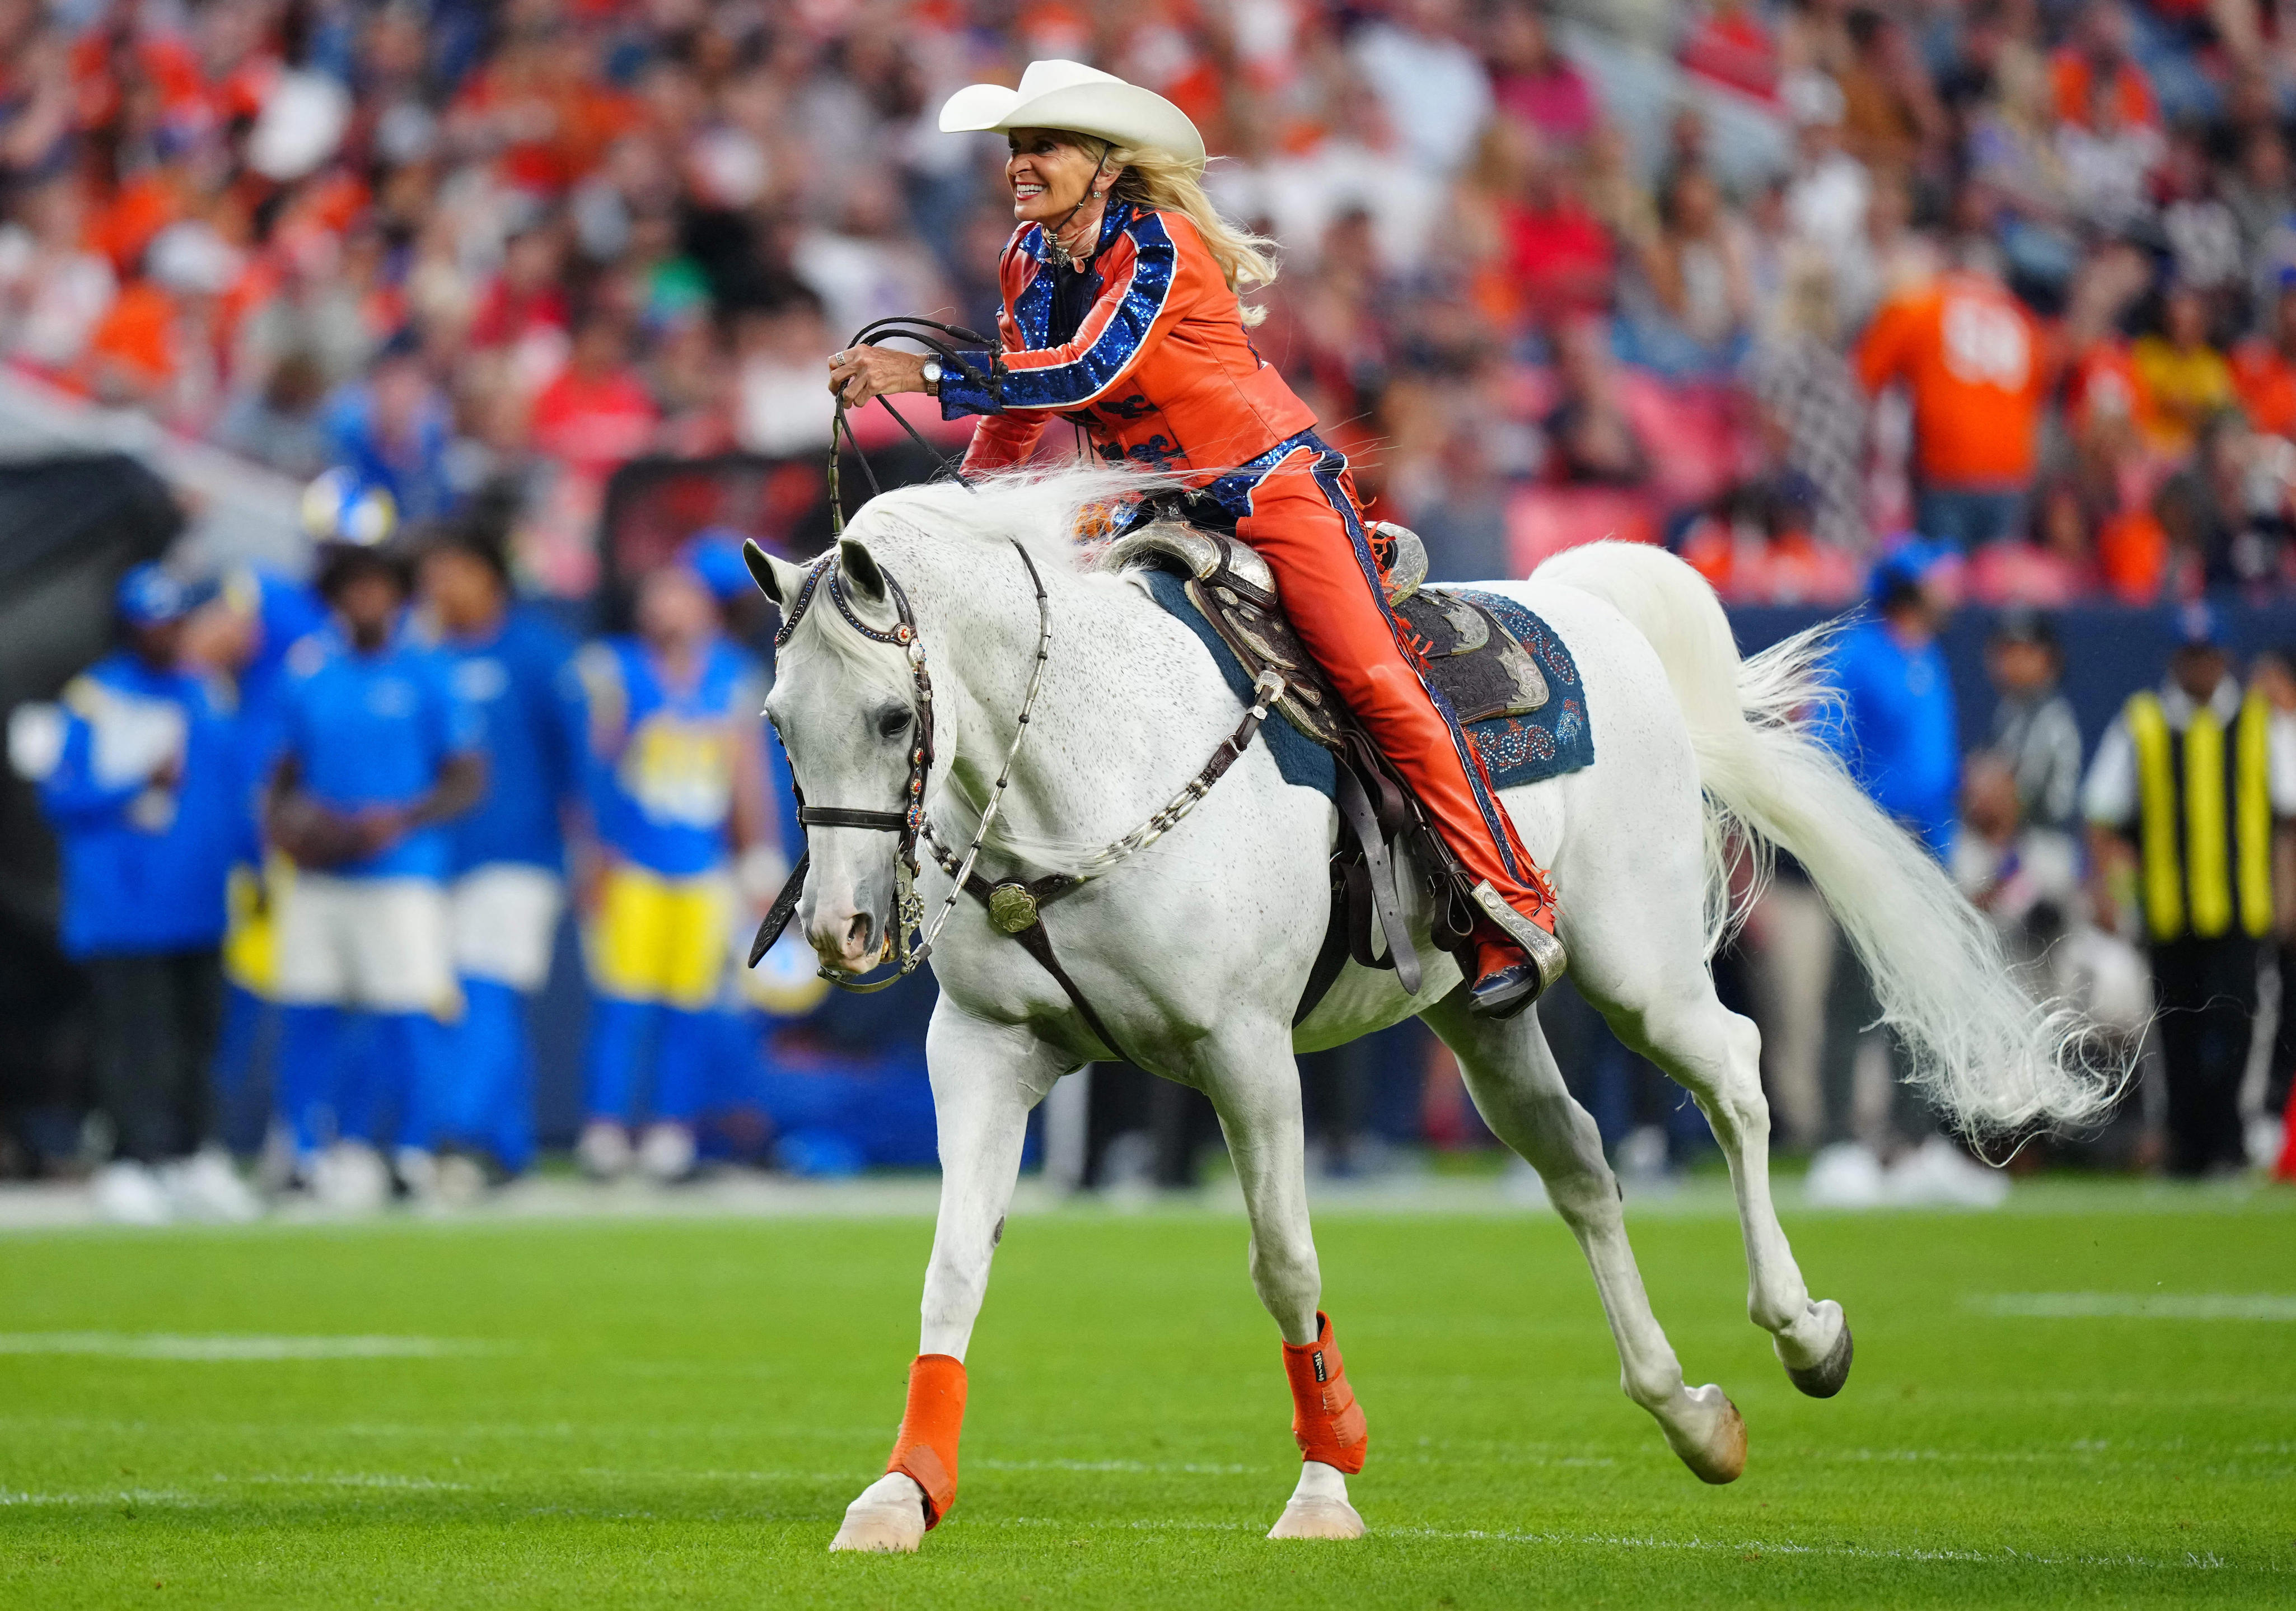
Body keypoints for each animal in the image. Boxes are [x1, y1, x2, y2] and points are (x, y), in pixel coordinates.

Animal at [743, 463, 2116, 1552]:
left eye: (889, 714)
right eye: (777, 722)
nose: (841, 930)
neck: (1090, 770)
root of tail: (1593, 615)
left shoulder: (1246, 1055)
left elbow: (1285, 1263)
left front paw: (1324, 1483)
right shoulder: (986, 1050)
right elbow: (954, 1264)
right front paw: (901, 1493)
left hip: (1640, 971)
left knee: (1734, 1074)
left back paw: (1804, 1332)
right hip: (1484, 1019)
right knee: (1580, 1168)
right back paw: (1689, 1412)